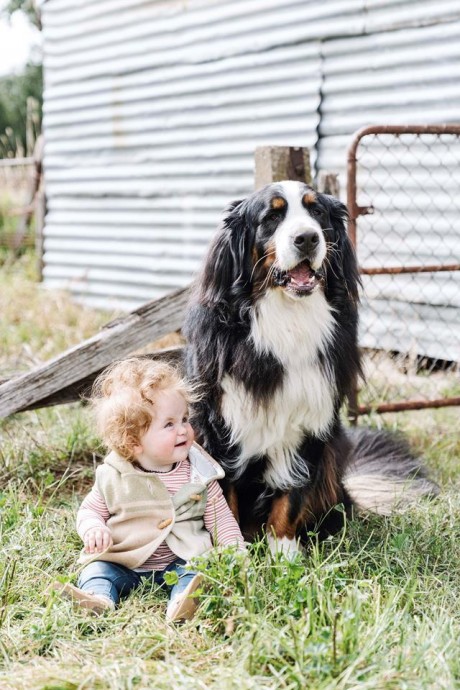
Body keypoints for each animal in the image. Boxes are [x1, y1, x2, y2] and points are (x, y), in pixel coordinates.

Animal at [182, 180, 434, 556]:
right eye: (272, 217)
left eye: (316, 212)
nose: (307, 238)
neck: (287, 319)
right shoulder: (218, 426)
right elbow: (224, 498)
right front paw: (233, 554)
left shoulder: (312, 423)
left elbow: (292, 496)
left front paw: (284, 555)